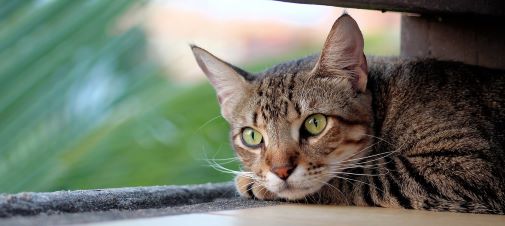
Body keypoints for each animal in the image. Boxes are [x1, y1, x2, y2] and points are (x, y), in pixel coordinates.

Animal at [190, 14, 504, 214]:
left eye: (315, 123)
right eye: (252, 137)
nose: (280, 171)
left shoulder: (468, 163)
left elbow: (362, 176)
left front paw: (253, 182)